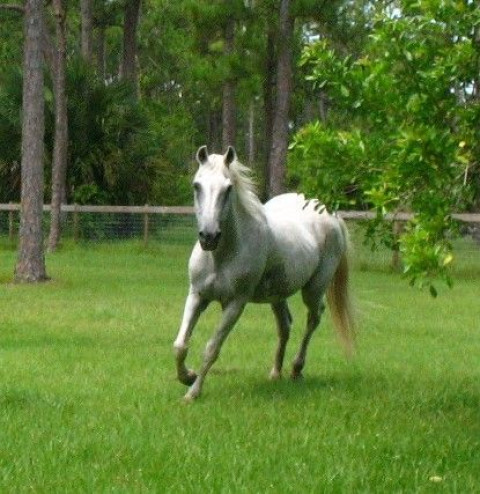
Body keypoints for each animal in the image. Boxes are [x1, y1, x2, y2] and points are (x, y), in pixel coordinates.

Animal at [174, 145, 354, 400]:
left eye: (228, 188)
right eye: (196, 185)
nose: (209, 236)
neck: (222, 255)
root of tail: (331, 213)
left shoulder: (235, 303)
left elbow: (211, 348)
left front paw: (193, 392)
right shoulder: (197, 295)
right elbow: (180, 345)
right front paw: (187, 376)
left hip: (314, 288)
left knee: (314, 317)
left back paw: (296, 369)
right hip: (277, 295)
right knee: (285, 326)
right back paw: (276, 373)